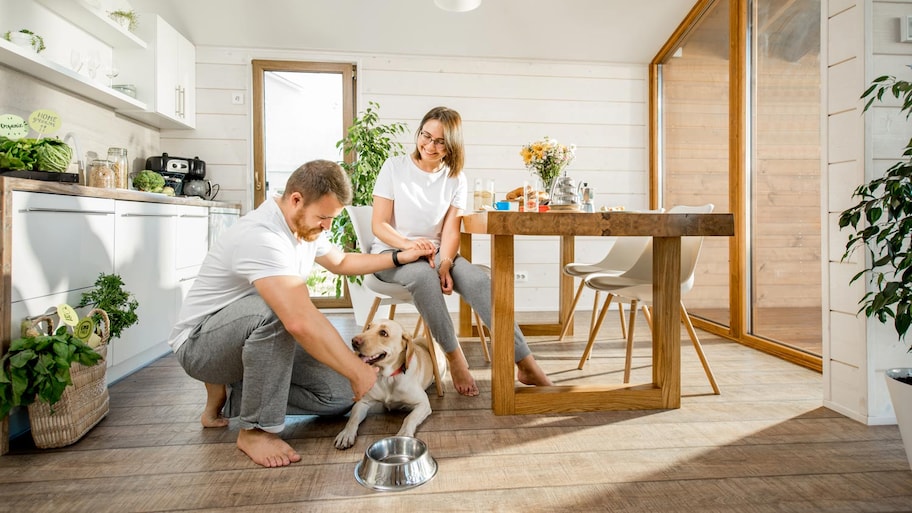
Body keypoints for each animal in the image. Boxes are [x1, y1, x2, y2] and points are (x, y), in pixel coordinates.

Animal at [334, 316, 448, 448]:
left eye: (383, 333)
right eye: (368, 327)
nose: (354, 341)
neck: (387, 377)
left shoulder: (423, 404)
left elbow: (409, 418)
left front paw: (404, 433)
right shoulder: (362, 402)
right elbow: (353, 419)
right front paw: (346, 434)